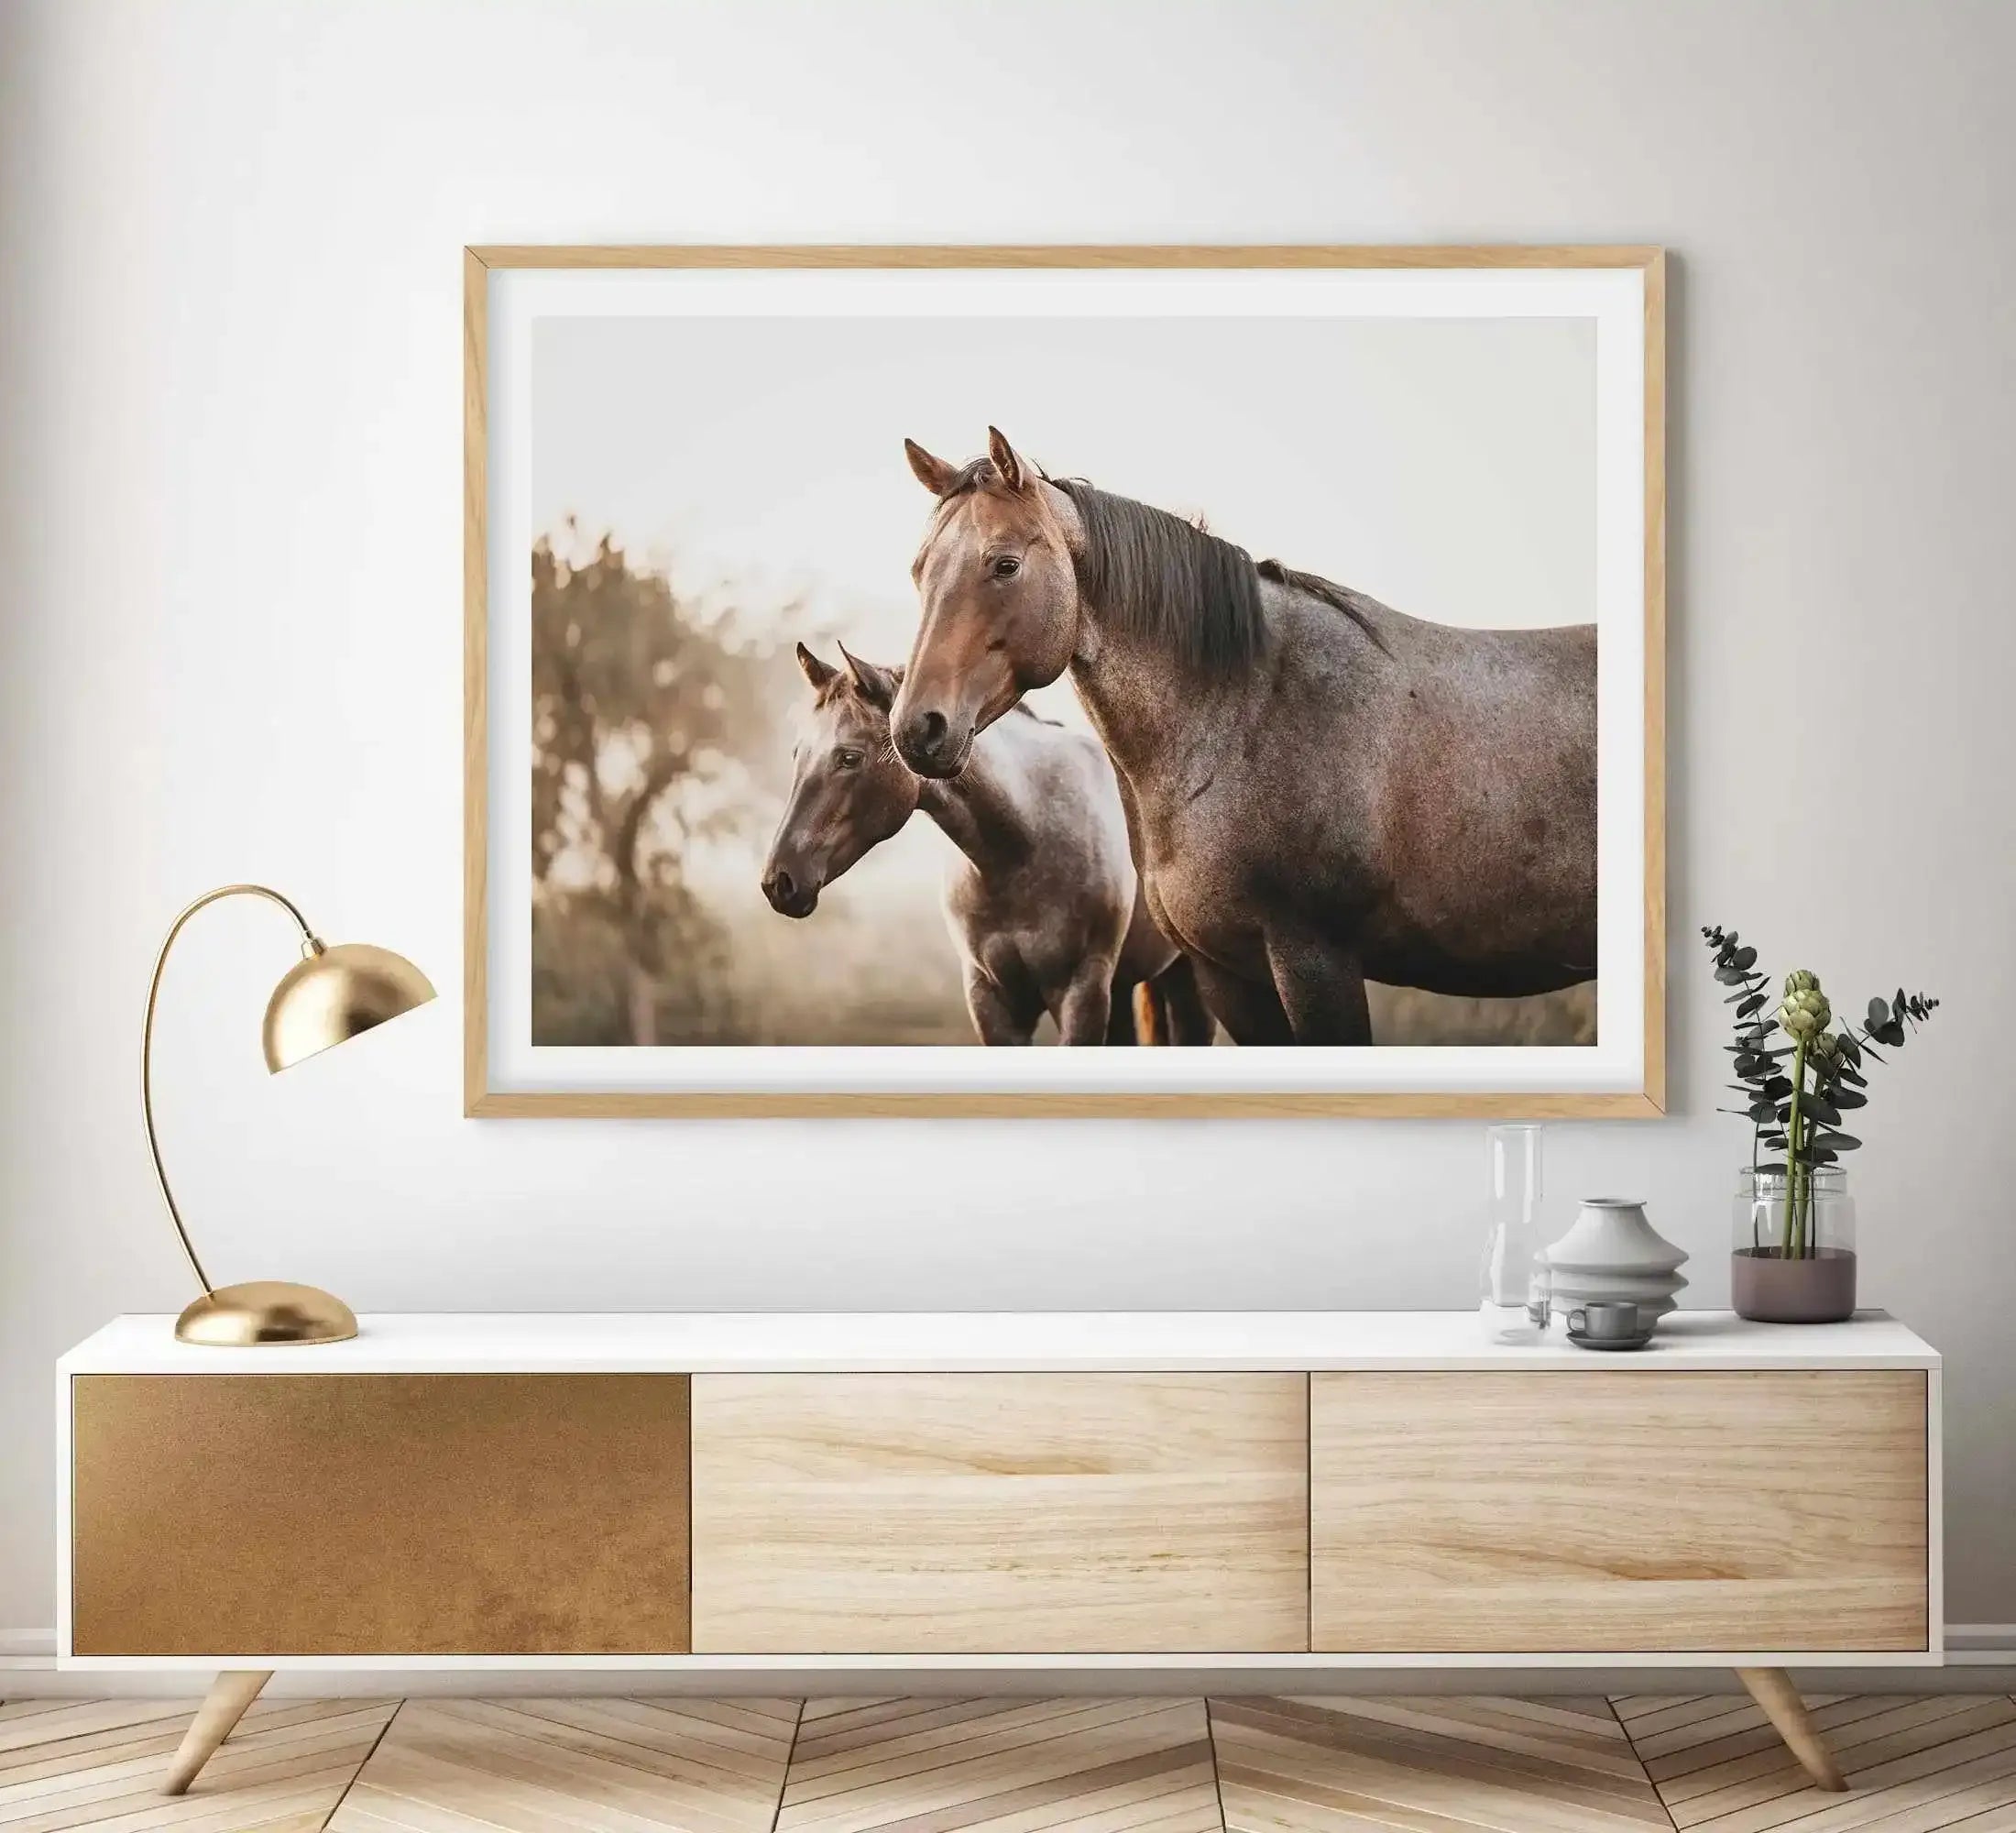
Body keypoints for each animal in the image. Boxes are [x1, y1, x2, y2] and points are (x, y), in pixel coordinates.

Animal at [760, 642, 1213, 1046]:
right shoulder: (990, 1000)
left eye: (850, 757)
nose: (778, 882)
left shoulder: (1080, 993)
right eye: (798, 754)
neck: (1024, 848)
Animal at [889, 428, 1597, 1046]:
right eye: (919, 571)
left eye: (1005, 565)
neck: (1244, 714)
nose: (917, 728)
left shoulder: (1317, 961)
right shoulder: (1226, 973)